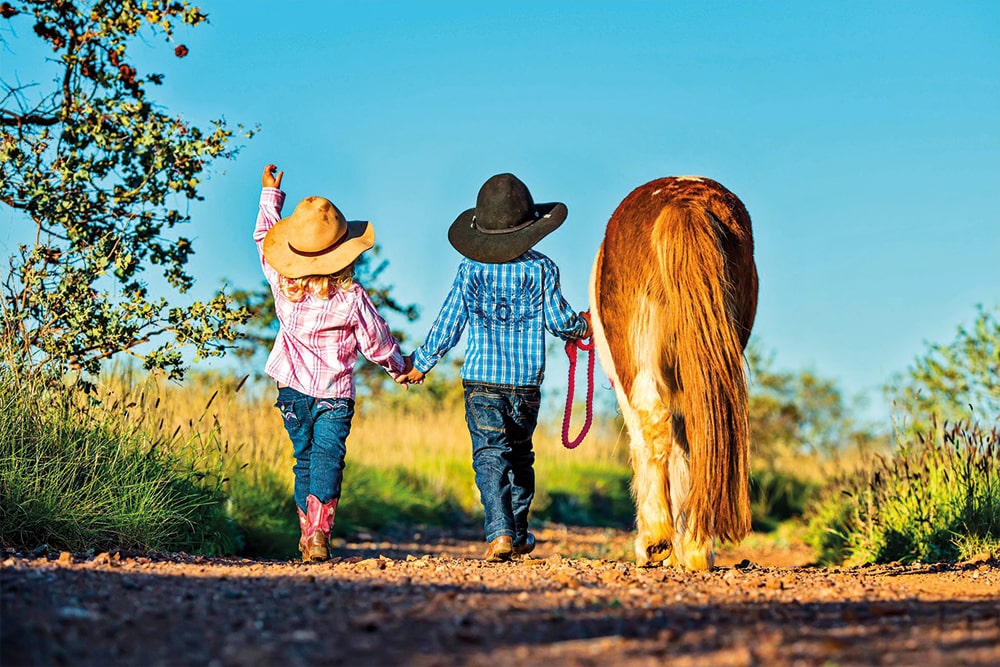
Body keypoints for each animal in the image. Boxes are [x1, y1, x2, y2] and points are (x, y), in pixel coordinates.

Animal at [584, 176, 756, 568]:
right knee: (696, 433)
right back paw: (695, 548)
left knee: (653, 426)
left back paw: (657, 540)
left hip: (636, 361)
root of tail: (684, 203)